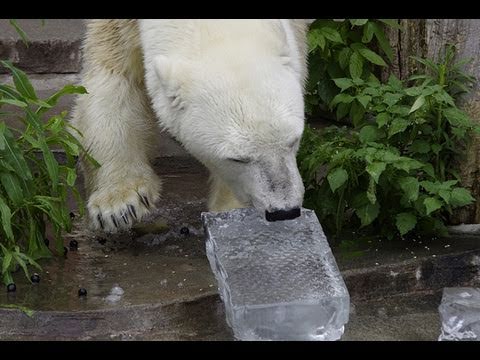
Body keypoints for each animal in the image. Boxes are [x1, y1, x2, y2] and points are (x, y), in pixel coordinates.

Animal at [71, 19, 312, 233]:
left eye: (293, 141)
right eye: (237, 158)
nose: (283, 211)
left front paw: (230, 209)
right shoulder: (117, 27)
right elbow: (115, 77)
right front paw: (119, 205)